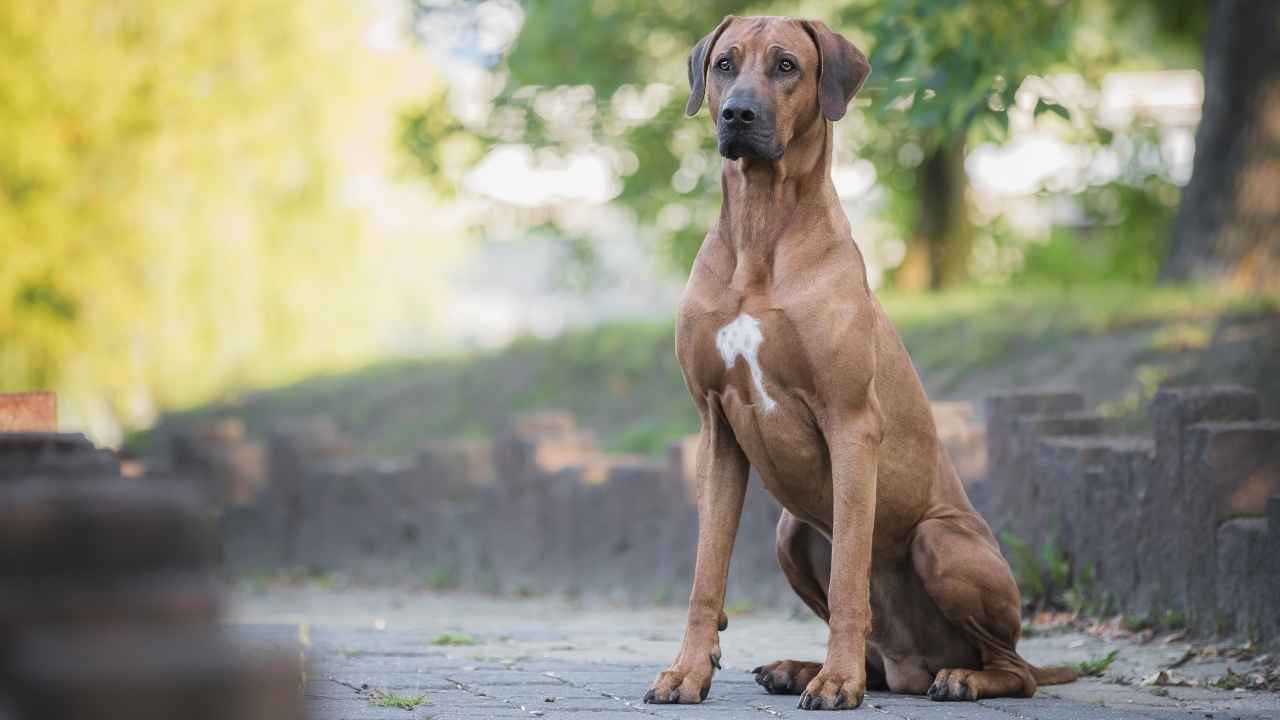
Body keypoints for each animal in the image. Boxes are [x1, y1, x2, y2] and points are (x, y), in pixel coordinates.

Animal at [640, 15, 1080, 707]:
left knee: (1015, 668)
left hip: (943, 541)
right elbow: (706, 574)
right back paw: (804, 667)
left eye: (787, 65)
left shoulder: (849, 422)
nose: (738, 114)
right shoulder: (716, 428)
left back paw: (956, 678)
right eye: (724, 64)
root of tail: (915, 664)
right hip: (790, 532)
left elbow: (851, 572)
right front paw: (688, 670)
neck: (760, 228)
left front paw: (837, 683)